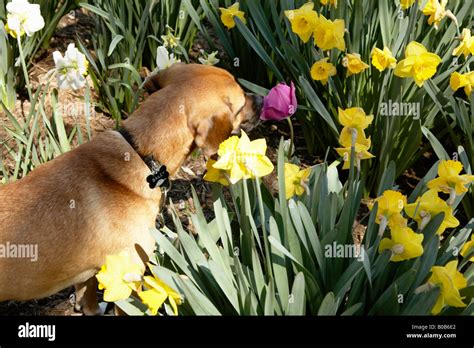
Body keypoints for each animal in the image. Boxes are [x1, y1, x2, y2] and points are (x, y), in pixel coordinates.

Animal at [0, 63, 262, 316]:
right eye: (241, 102)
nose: (261, 97)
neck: (141, 154)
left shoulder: (89, 275)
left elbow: (88, 297)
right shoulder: (129, 278)